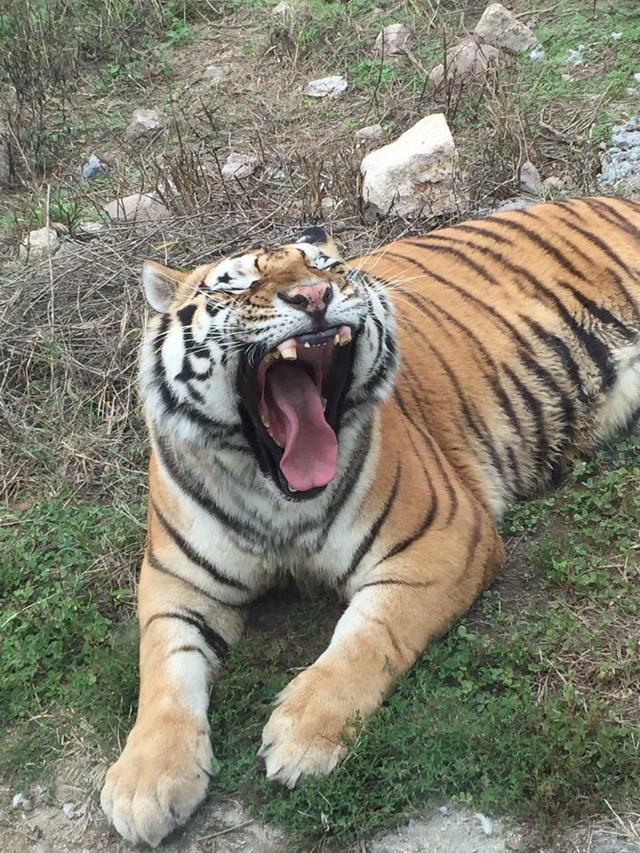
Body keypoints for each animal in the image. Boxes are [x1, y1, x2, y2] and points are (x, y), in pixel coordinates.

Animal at [100, 195, 640, 844]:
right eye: (238, 283)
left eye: (326, 267)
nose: (313, 296)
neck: (277, 496)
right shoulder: (176, 583)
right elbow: (163, 672)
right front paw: (145, 781)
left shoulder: (441, 539)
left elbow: (366, 636)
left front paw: (302, 736)